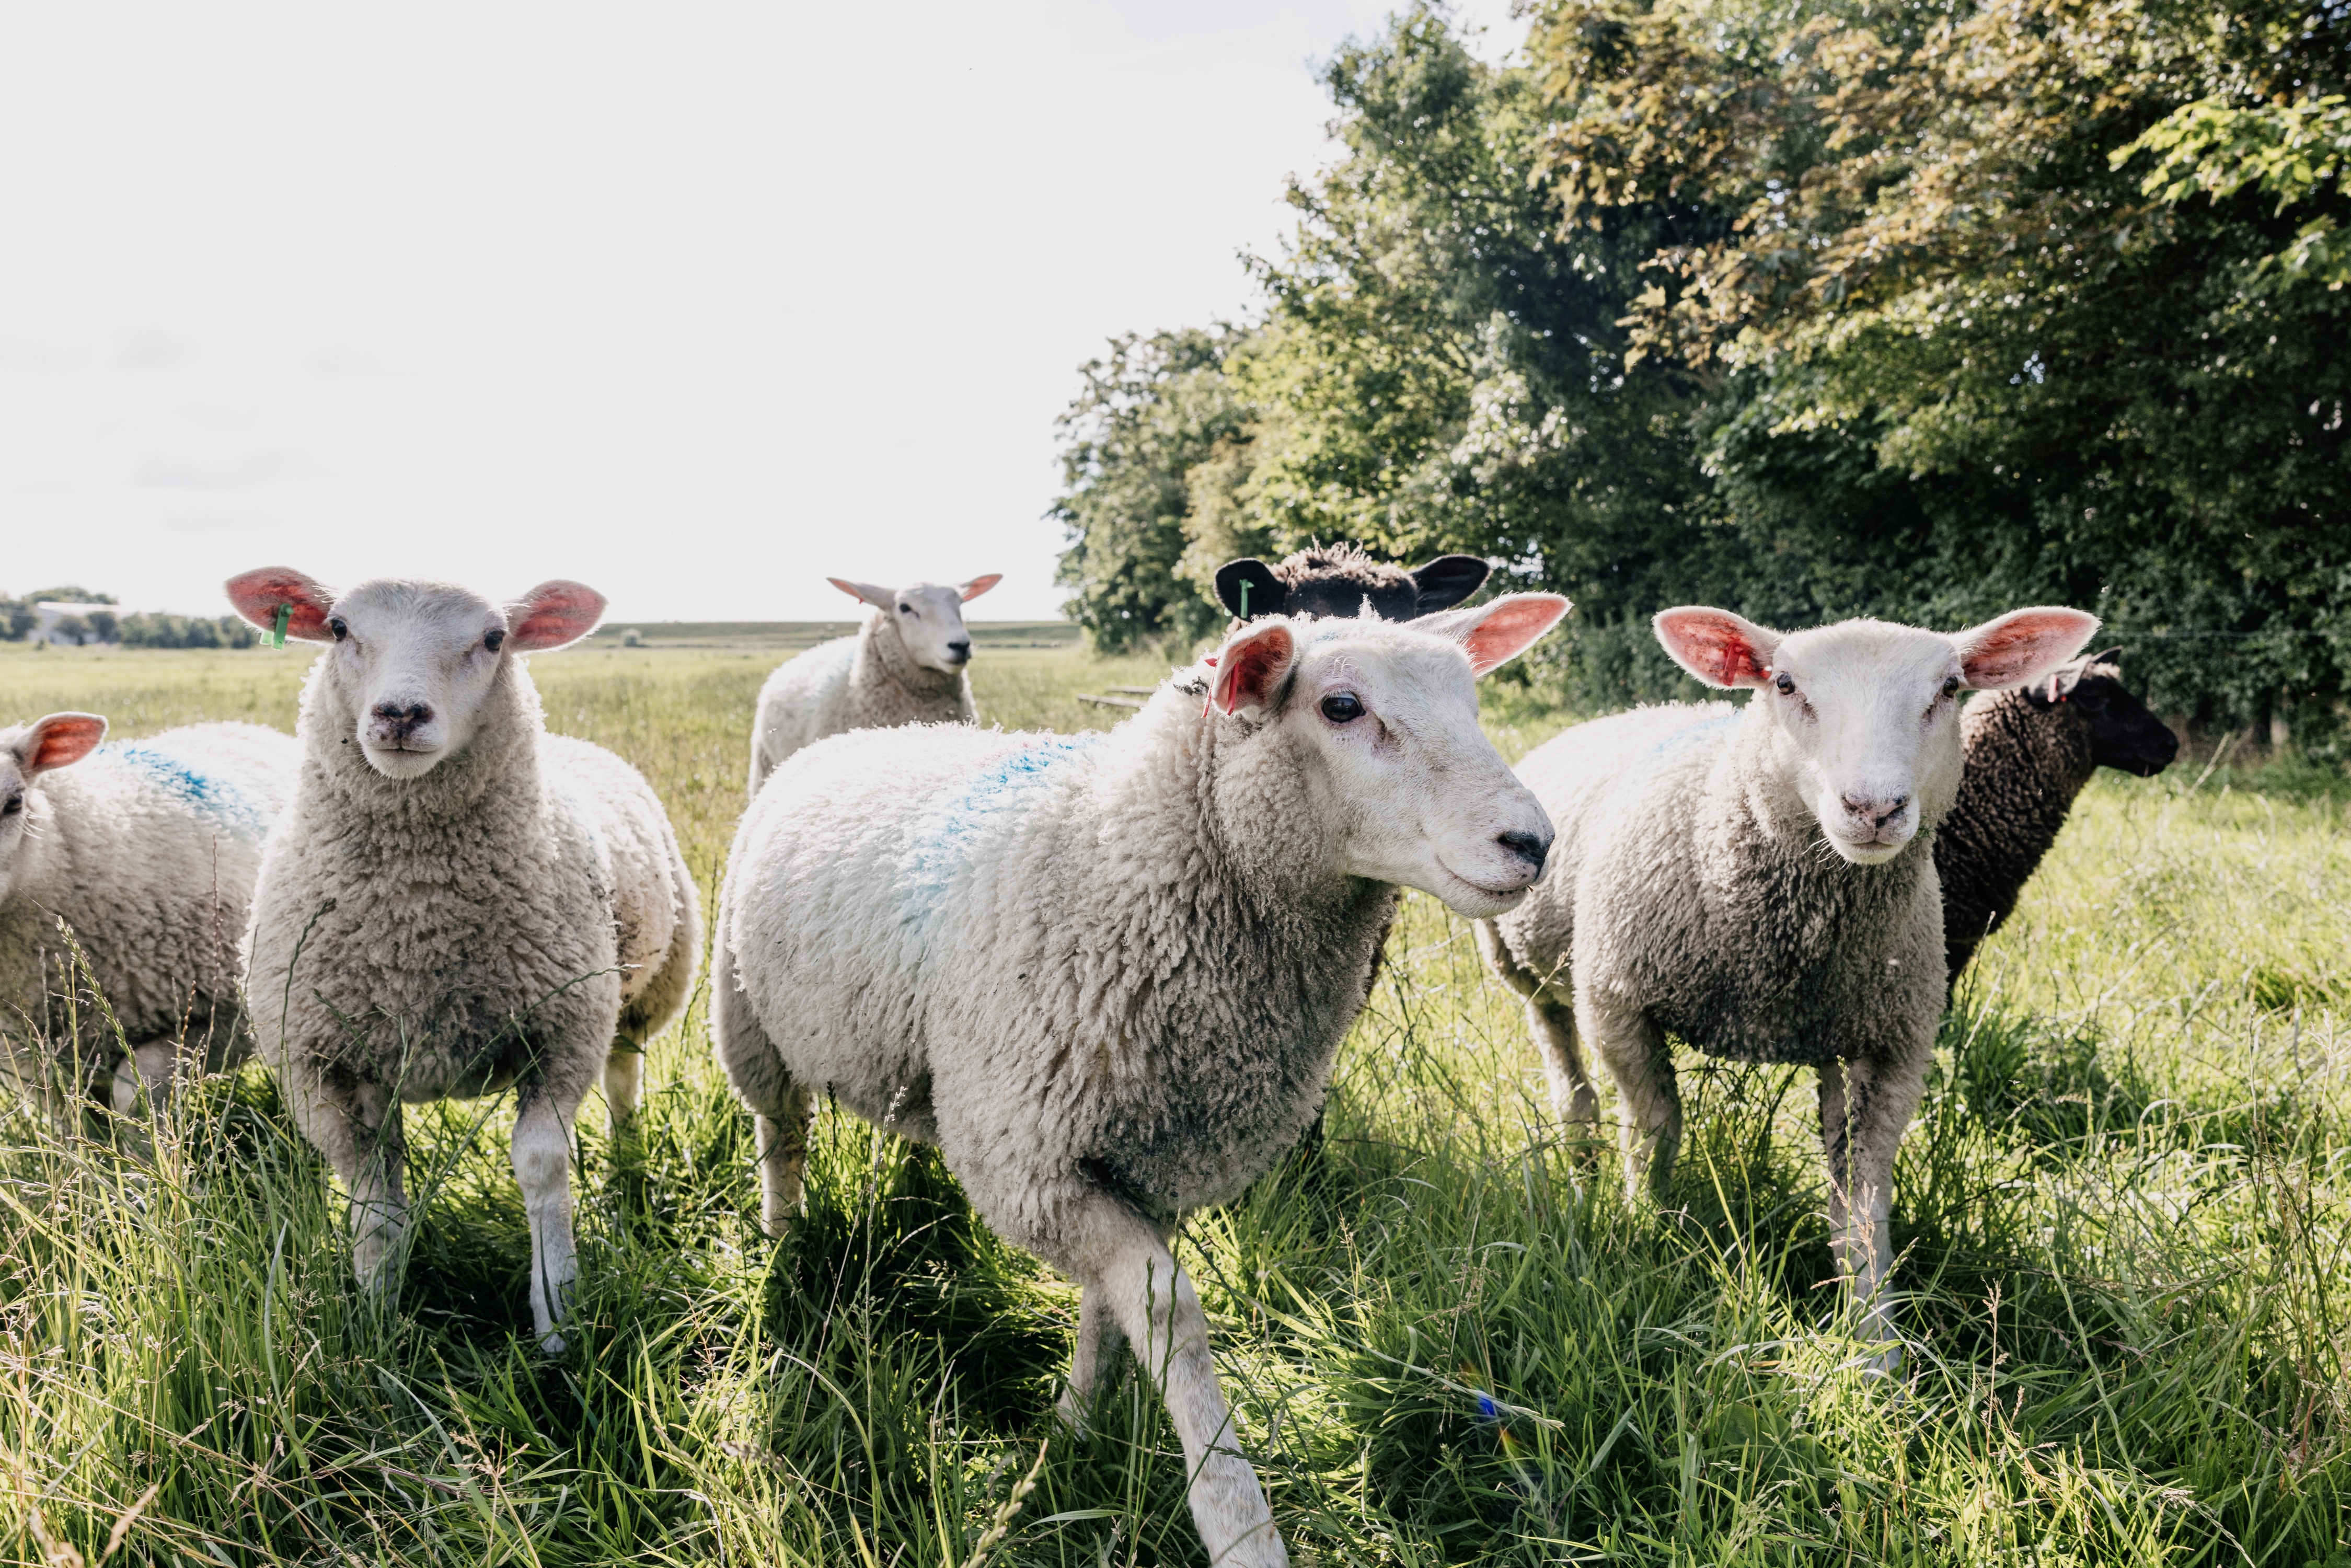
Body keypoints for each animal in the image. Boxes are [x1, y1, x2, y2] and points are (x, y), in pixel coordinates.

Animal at [225, 567, 703, 1351]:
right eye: (338, 628)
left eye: (493, 637)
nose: (399, 713)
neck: (417, 924)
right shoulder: (324, 1065)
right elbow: (375, 1202)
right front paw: (376, 1326)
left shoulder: (562, 1034)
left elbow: (542, 1169)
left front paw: (557, 1321)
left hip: (639, 997)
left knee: (624, 1079)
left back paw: (627, 1165)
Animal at [1479, 605, 2098, 1353]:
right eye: (1784, 684)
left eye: (1949, 688)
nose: (1873, 808)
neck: (1788, 942)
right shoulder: (1618, 1005)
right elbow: (1655, 1134)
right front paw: (1644, 1238)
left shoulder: (1894, 1045)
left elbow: (1861, 1197)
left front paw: (1874, 1340)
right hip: (1523, 968)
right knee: (1565, 1065)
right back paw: (1581, 1156)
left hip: (1836, 1023)